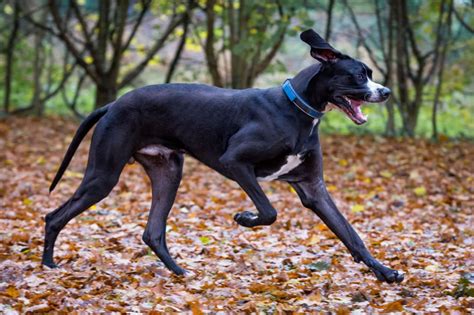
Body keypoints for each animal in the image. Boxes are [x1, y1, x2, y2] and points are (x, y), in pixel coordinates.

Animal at [42, 30, 402, 284]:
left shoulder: (314, 188)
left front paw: (385, 272)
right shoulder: (236, 162)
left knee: (153, 232)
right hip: (103, 175)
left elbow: (352, 236)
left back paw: (180, 272)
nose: (385, 92)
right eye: (358, 75)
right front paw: (245, 218)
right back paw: (48, 265)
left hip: (168, 172)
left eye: (370, 73)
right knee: (54, 216)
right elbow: (269, 211)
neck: (296, 109)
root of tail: (113, 104)